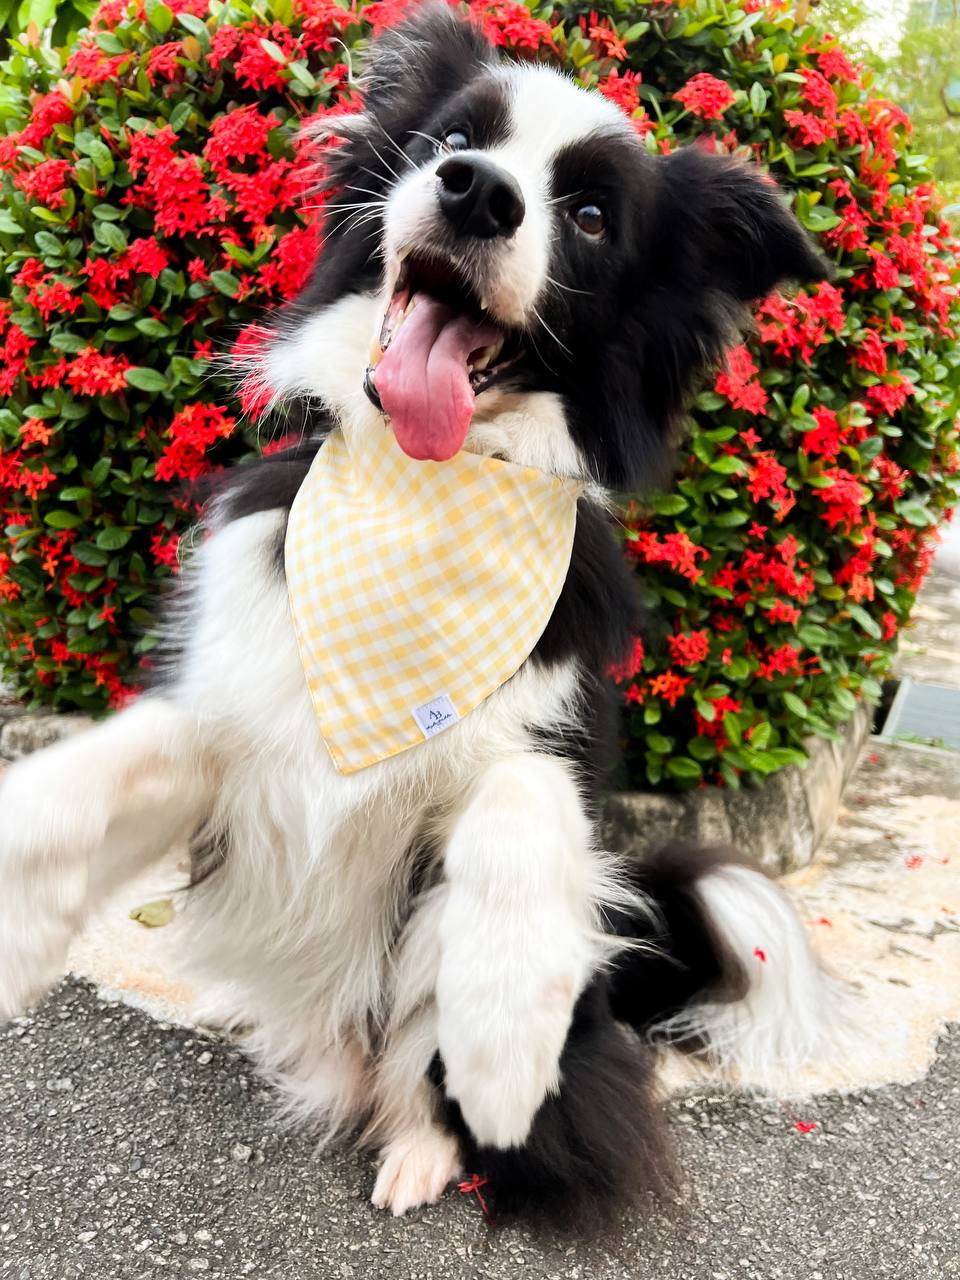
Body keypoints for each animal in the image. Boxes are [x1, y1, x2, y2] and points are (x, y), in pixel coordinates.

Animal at [0, 5, 839, 1228]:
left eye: (592, 217)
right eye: (452, 137)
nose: (478, 192)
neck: (424, 489)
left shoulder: (551, 736)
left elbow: (520, 803)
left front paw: (502, 1040)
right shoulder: (244, 694)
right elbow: (105, 767)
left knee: (422, 1063)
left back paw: (427, 1145)